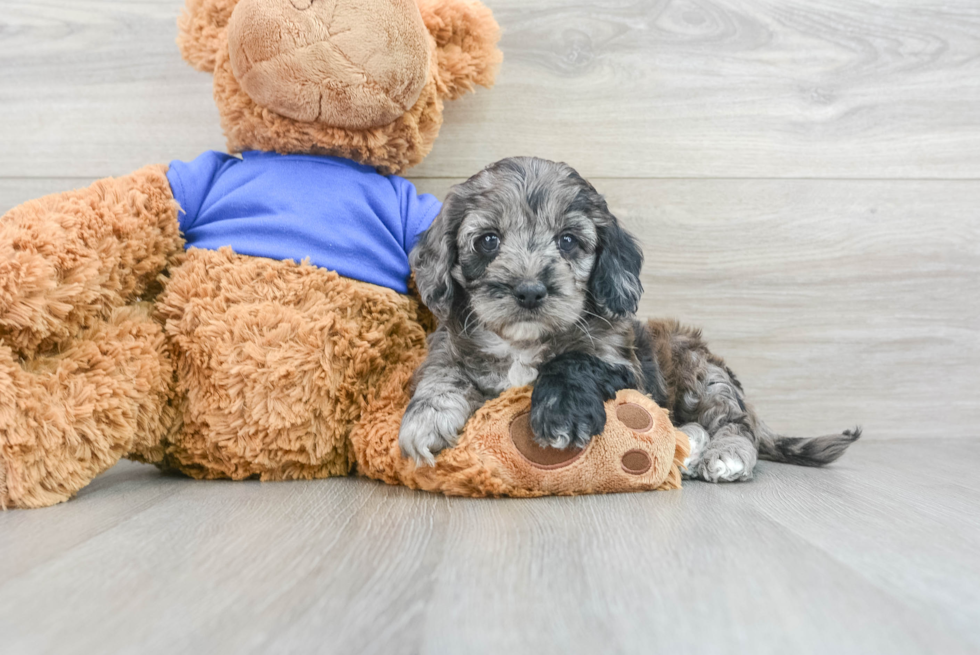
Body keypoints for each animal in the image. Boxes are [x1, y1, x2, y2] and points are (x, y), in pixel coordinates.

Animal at [398, 156, 856, 480]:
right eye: (488, 241)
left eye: (568, 241)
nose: (529, 291)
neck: (522, 343)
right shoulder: (447, 350)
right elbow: (441, 377)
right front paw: (426, 421)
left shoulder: (624, 366)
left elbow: (574, 361)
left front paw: (561, 413)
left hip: (699, 369)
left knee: (734, 421)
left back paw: (725, 453)